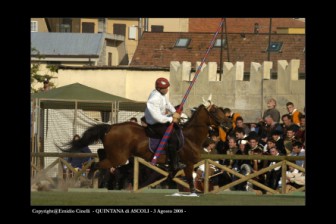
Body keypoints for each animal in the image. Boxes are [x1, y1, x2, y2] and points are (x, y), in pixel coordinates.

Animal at [60, 102, 231, 192]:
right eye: (216, 111)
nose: (228, 124)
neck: (190, 137)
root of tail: (110, 127)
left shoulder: (175, 166)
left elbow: (170, 175)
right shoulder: (188, 163)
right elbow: (188, 179)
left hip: (115, 155)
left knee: (101, 154)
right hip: (118, 157)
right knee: (98, 164)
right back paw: (90, 178)